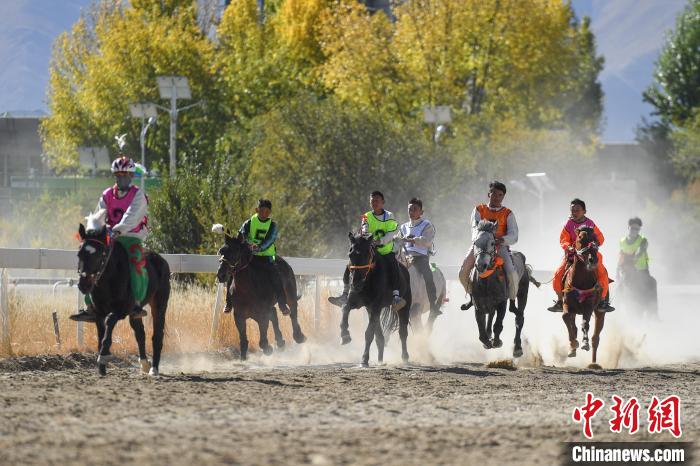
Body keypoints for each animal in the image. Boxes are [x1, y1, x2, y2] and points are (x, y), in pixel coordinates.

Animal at [77, 211, 170, 376]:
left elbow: (109, 322)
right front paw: (101, 366)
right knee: (140, 333)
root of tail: (160, 260)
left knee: (157, 335)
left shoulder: (121, 311)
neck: (109, 279)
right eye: (79, 254)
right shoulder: (98, 313)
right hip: (136, 313)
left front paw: (104, 356)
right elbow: (101, 335)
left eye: (98, 255)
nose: (83, 284)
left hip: (159, 304)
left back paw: (154, 368)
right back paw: (144, 364)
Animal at [215, 229, 306, 360]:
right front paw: (243, 358)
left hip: (290, 295)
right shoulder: (239, 316)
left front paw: (268, 349)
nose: (221, 275)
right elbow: (243, 340)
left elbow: (263, 341)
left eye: (235, 252)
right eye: (221, 251)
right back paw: (280, 342)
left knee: (292, 311)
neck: (247, 290)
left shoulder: (262, 315)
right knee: (274, 313)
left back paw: (298, 336)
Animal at [339, 233, 412, 367]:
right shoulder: (358, 302)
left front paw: (364, 359)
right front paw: (345, 335)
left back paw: (405, 357)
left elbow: (369, 334)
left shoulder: (376, 306)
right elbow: (345, 308)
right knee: (380, 337)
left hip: (405, 307)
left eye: (367, 254)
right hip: (371, 310)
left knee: (403, 333)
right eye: (350, 254)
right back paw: (380, 359)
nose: (355, 283)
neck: (368, 280)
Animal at [470, 220, 531, 358]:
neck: (487, 281)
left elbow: (498, 325)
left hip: (522, 292)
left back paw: (517, 347)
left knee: (519, 318)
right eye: (475, 242)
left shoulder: (502, 303)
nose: (481, 265)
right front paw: (487, 342)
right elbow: (481, 332)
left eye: (493, 243)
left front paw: (497, 341)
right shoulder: (478, 305)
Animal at [560, 226, 606, 367]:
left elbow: (585, 323)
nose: (593, 260)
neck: (581, 280)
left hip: (600, 312)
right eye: (580, 238)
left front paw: (585, 343)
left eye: (595, 238)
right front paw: (573, 344)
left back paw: (594, 363)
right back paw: (573, 348)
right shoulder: (567, 303)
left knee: (596, 338)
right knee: (573, 325)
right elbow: (566, 317)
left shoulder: (589, 305)